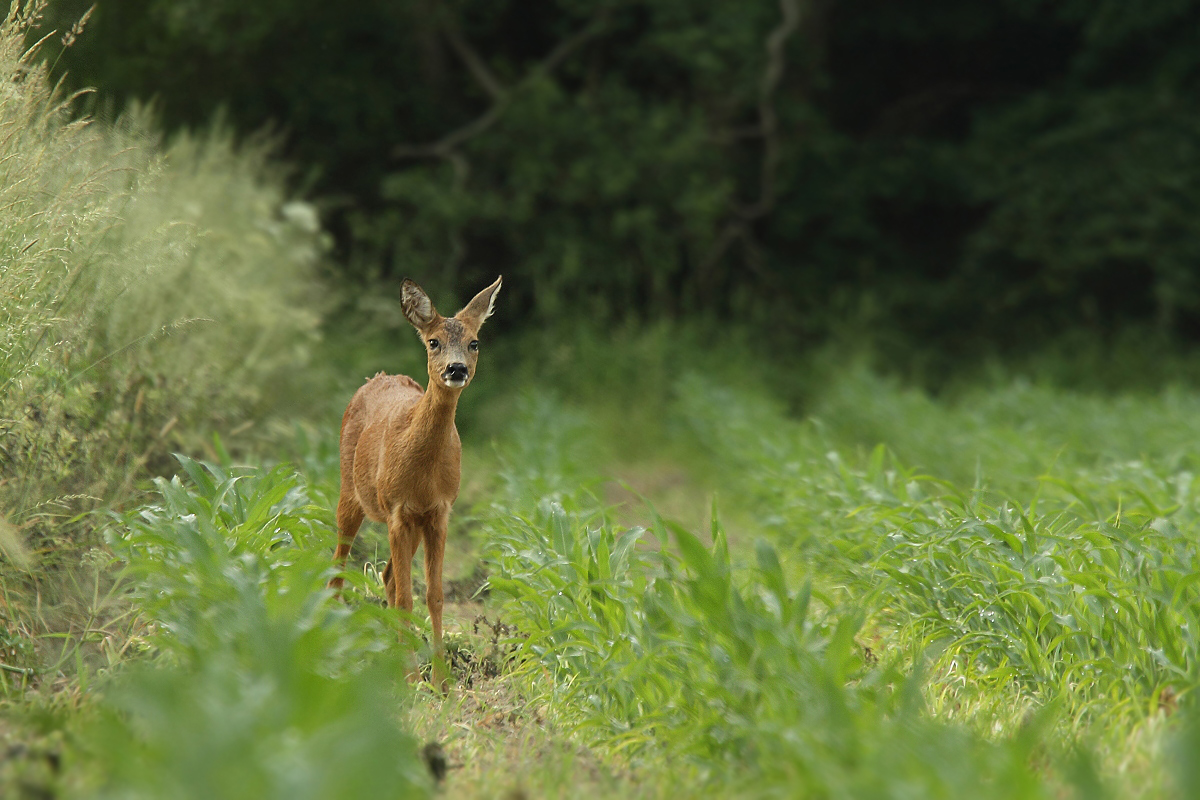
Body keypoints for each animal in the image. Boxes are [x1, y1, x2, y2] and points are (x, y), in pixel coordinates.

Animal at [328, 277, 501, 690]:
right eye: (434, 341)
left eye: (474, 342)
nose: (456, 368)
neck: (422, 473)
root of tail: (378, 377)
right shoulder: (396, 509)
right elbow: (407, 597)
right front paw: (411, 680)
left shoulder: (439, 511)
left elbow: (433, 596)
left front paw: (440, 681)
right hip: (351, 493)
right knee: (338, 568)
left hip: (412, 523)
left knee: (387, 576)